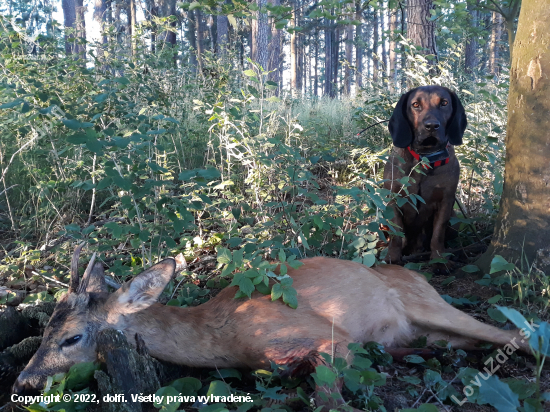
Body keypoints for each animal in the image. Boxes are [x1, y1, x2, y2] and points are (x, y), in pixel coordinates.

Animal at [11, 246, 532, 400]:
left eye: (72, 337)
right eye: (45, 329)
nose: (22, 381)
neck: (222, 334)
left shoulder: (330, 337)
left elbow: (329, 400)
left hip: (429, 304)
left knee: (515, 332)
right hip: (426, 328)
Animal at [386, 85, 468, 268]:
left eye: (444, 103)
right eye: (416, 104)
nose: (431, 126)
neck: (424, 158)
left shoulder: (445, 201)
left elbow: (437, 235)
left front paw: (439, 260)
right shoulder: (393, 199)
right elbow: (396, 235)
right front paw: (392, 258)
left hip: (455, 220)